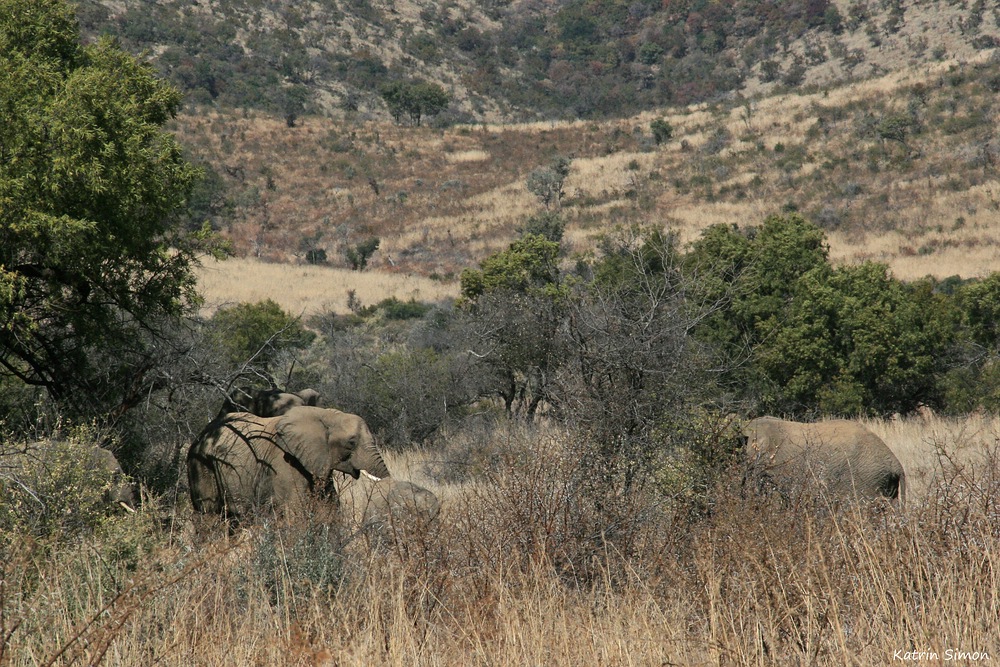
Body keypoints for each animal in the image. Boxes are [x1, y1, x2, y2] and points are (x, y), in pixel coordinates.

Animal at [188, 404, 390, 524]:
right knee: (209, 515)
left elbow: (331, 509)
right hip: (201, 466)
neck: (325, 414)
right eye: (351, 442)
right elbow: (296, 511)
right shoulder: (285, 464)